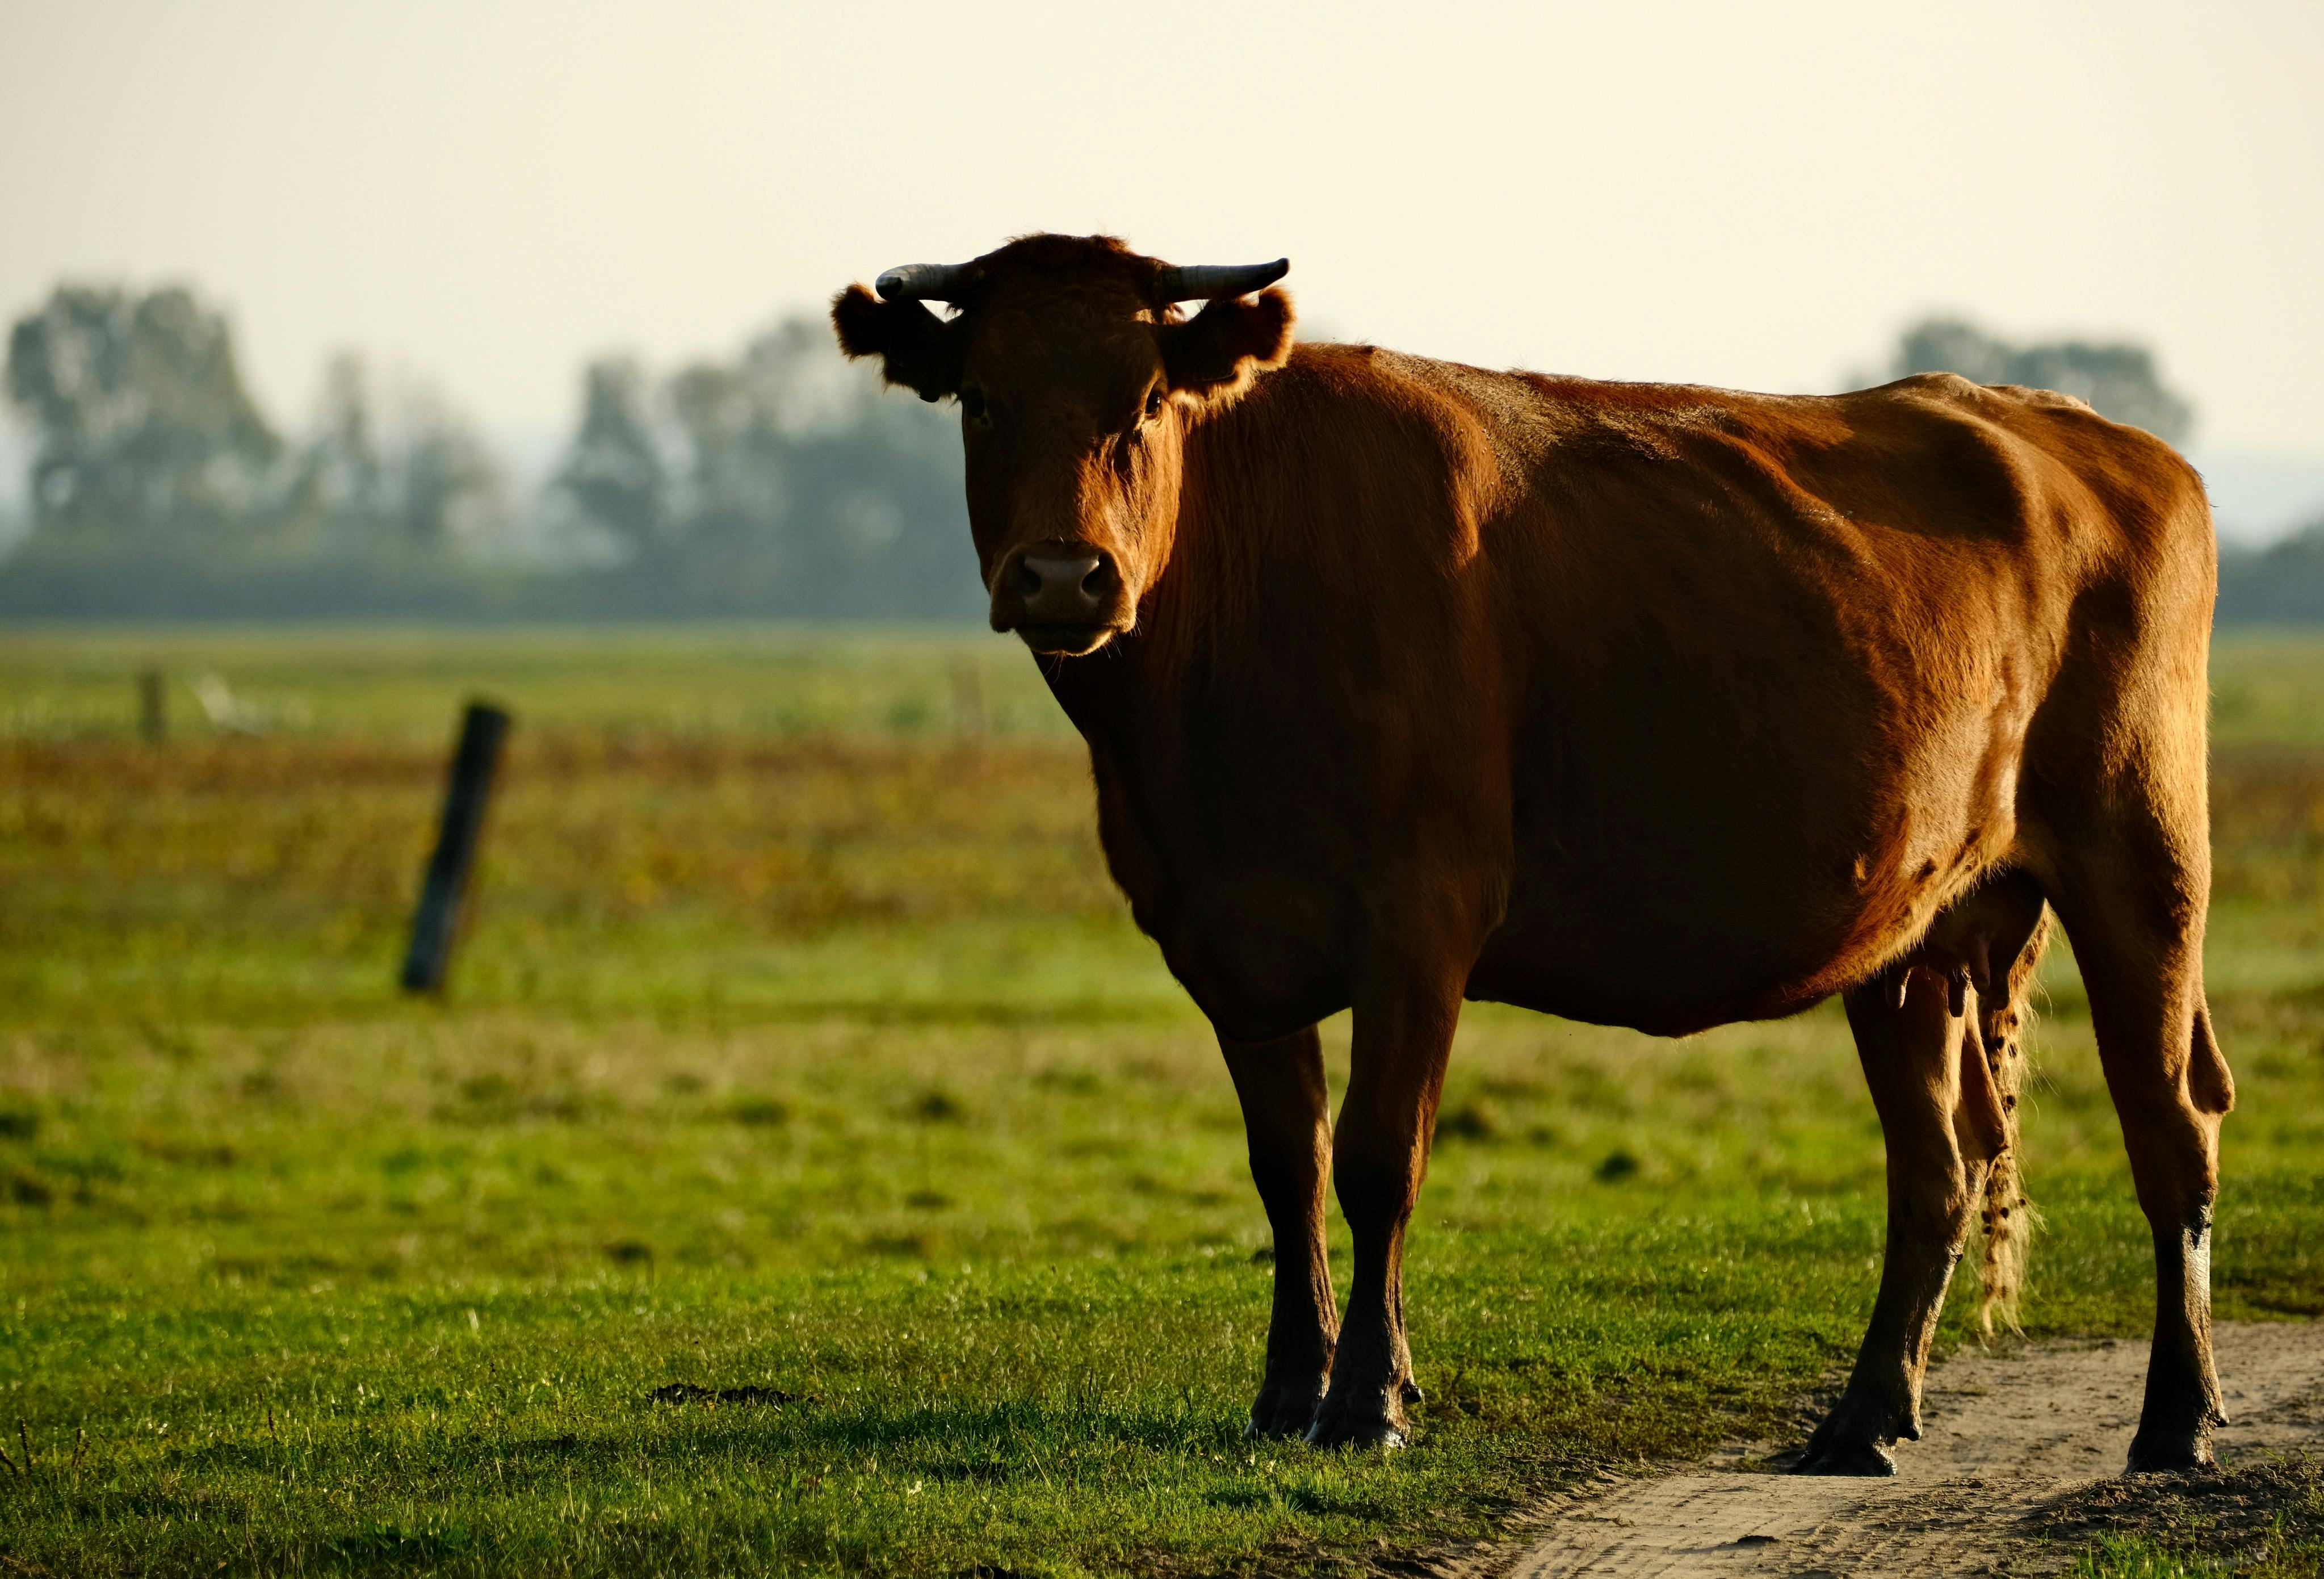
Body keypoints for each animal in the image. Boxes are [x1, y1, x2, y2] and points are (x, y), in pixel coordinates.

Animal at [830, 234, 2232, 1473]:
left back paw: (2174, 1419)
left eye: (1142, 403)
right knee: (1935, 1172)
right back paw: (1863, 1419)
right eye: (983, 402)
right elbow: (1287, 1168)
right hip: (1909, 935)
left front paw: (1367, 1402)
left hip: (2143, 863)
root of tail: (2075, 430)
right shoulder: (1231, 940)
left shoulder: (1418, 920)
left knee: (2169, 1133)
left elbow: (1375, 1160)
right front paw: (1287, 1392)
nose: (1063, 578)